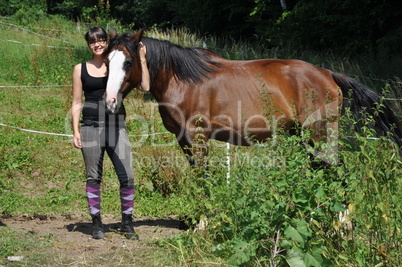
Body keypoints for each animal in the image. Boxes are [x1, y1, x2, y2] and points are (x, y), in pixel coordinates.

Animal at [104, 29, 402, 168]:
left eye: (129, 62)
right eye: (107, 60)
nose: (110, 102)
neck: (183, 80)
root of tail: (328, 74)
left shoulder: (198, 139)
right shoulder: (183, 141)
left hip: (319, 136)